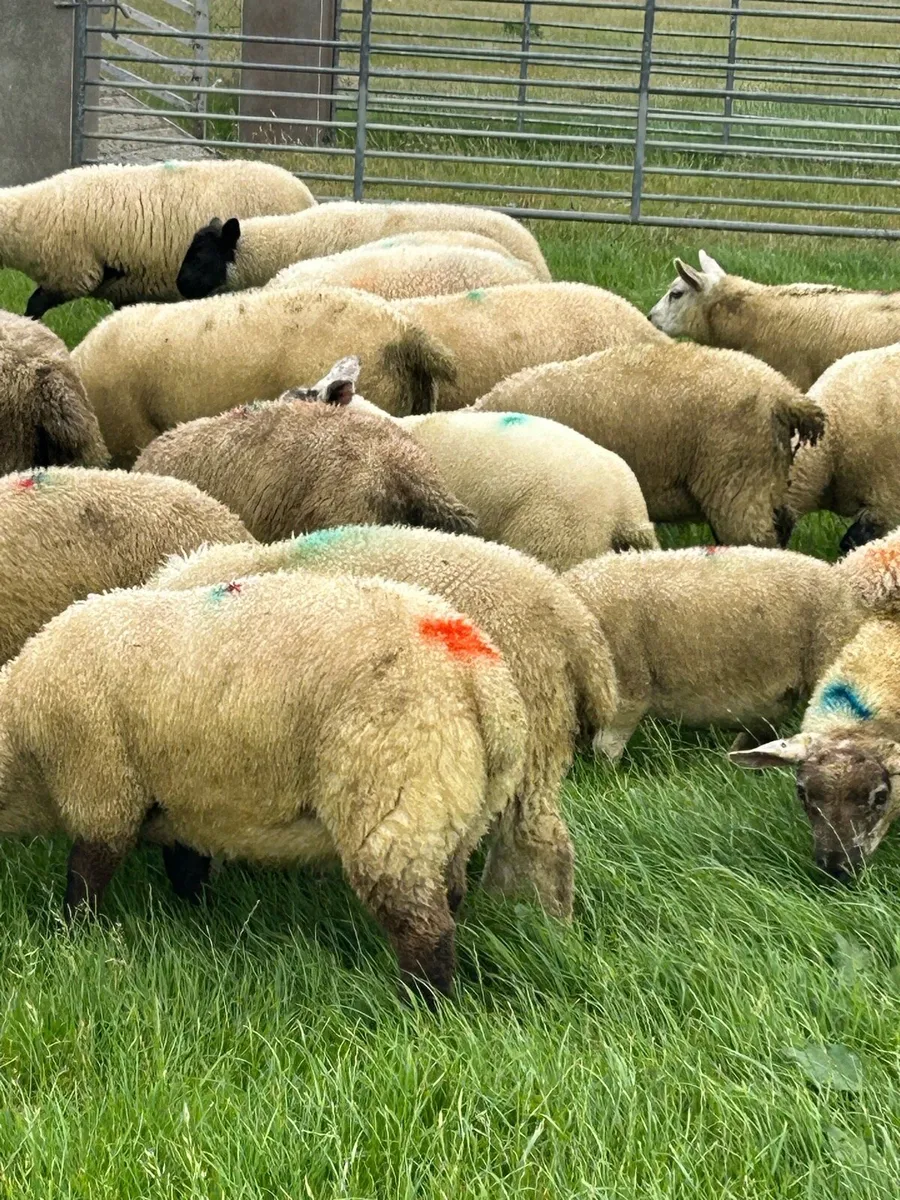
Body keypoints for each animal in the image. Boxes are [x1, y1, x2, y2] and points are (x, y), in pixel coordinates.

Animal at [0, 569, 527, 1000]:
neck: (21, 732)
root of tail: (484, 681)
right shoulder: (187, 800)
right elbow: (185, 866)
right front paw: (194, 917)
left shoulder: (101, 787)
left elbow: (84, 878)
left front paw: (73, 938)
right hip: (457, 813)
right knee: (448, 897)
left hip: (394, 793)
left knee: (425, 928)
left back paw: (421, 1009)